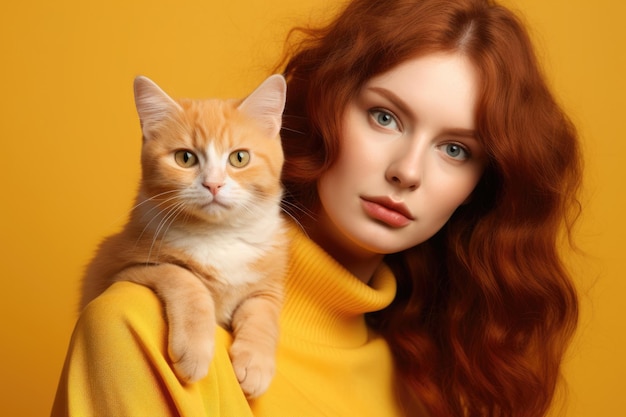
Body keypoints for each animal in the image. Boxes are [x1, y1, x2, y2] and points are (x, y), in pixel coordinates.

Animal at [79, 74, 286, 396]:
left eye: (239, 158)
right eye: (185, 158)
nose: (213, 184)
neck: (217, 236)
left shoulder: (268, 284)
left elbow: (262, 313)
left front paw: (255, 363)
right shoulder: (123, 270)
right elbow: (184, 278)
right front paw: (195, 351)